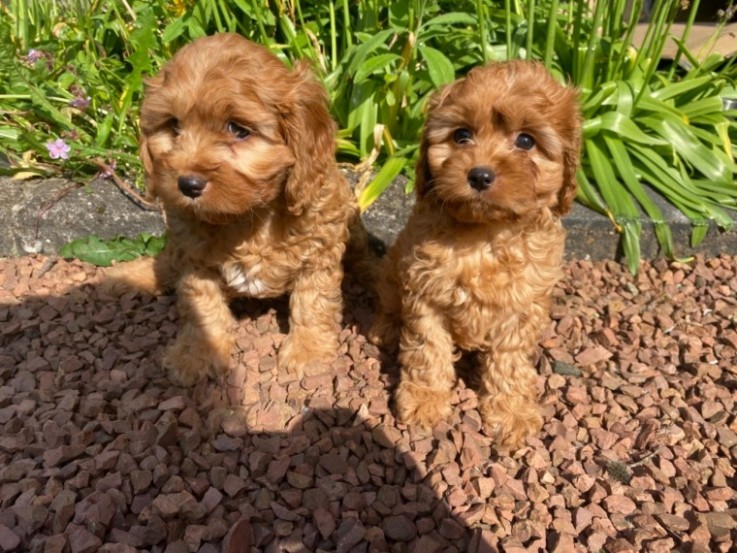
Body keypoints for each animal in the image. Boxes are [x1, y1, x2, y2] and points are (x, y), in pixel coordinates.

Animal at [103, 34, 360, 386]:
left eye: (238, 129)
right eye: (174, 126)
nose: (188, 184)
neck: (249, 217)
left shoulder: (319, 249)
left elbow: (313, 301)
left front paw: (307, 352)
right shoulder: (194, 258)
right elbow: (202, 306)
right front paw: (197, 354)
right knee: (166, 262)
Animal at [370, 61, 576, 448]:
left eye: (526, 140)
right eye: (461, 135)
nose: (479, 175)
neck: (484, 235)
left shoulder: (522, 305)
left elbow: (510, 362)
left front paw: (511, 413)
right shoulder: (425, 292)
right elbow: (427, 349)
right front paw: (424, 400)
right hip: (392, 271)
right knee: (389, 304)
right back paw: (385, 328)